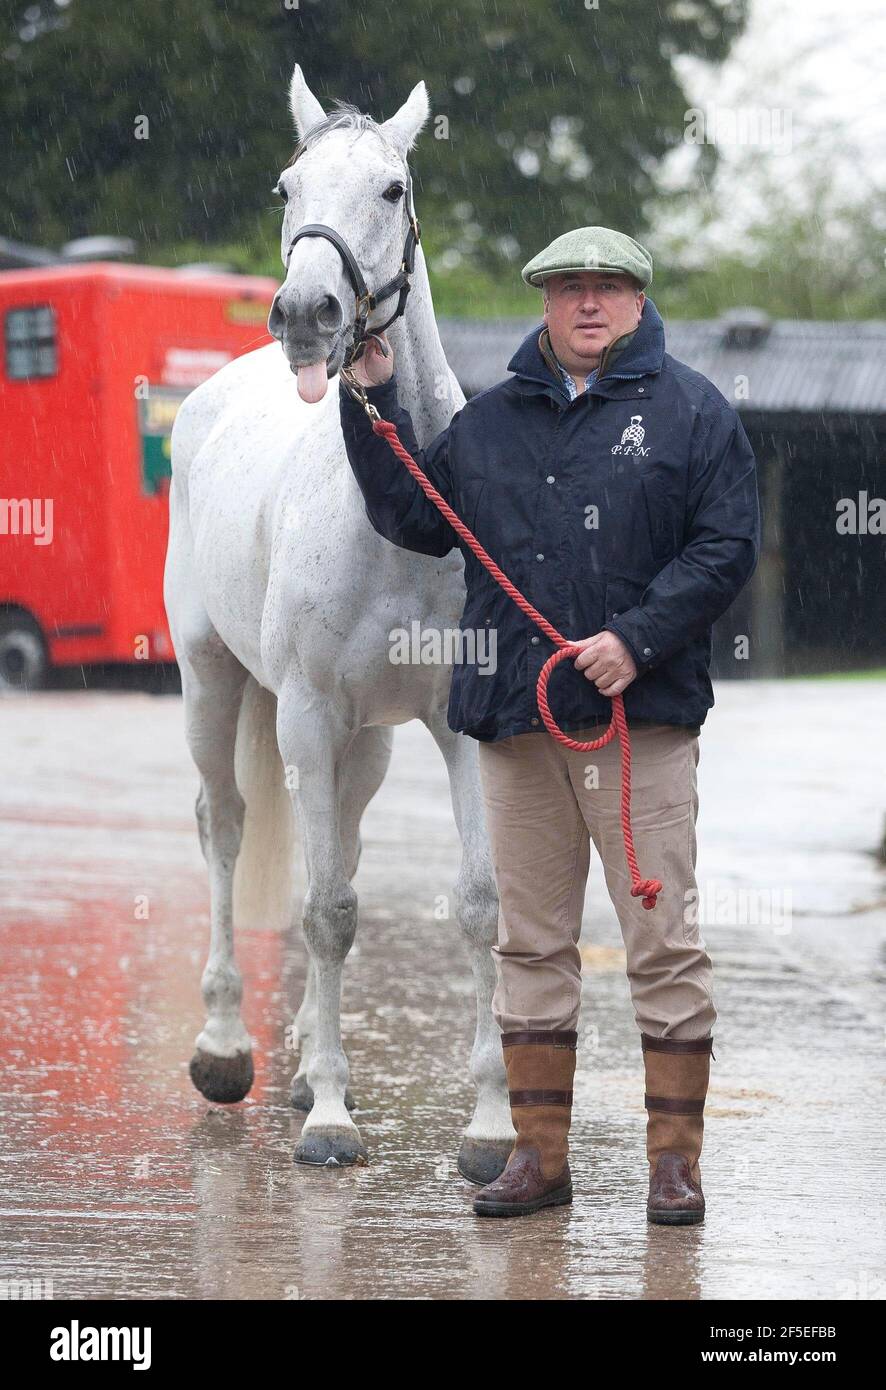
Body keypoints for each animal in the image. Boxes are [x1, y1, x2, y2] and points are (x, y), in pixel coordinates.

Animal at [163, 59, 511, 1178]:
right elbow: (321, 911)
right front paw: (328, 1121)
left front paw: (492, 1127)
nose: (307, 310)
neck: (400, 508)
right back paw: (229, 1051)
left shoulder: (456, 724)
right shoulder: (307, 715)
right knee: (225, 826)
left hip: (364, 743)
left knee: (342, 846)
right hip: (212, 681)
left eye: (393, 189)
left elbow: (476, 905)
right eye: (286, 186)